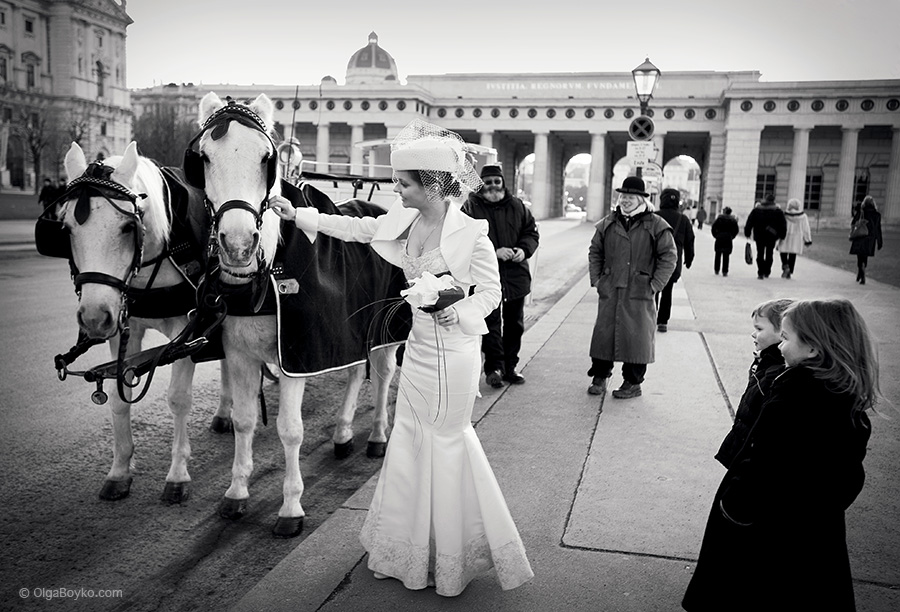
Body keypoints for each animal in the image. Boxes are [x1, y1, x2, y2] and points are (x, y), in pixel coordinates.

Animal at [57, 142, 232, 502]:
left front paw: (177, 474)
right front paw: (120, 470)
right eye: (67, 228)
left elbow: (178, 399)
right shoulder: (124, 330)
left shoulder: (187, 331)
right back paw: (225, 413)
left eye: (128, 228)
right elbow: (118, 396)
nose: (93, 317)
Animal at [190, 91, 398, 536]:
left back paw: (376, 435)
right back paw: (342, 432)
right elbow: (245, 420)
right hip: (350, 331)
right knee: (355, 372)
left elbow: (290, 430)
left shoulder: (296, 357)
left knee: (383, 375)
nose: (238, 245)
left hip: (387, 330)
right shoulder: (240, 355)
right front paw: (236, 492)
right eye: (205, 158)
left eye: (264, 157)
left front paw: (290, 506)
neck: (264, 278)